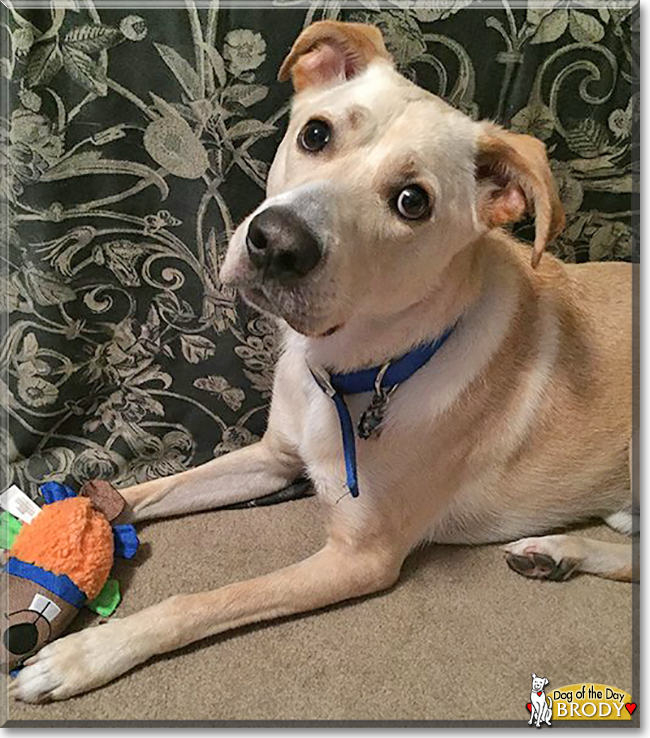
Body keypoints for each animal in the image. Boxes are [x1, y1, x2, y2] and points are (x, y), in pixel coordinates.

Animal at [8, 20, 632, 700]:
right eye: (316, 134)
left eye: (413, 201)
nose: (275, 244)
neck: (350, 368)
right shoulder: (272, 458)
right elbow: (142, 491)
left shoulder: (361, 558)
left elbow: (204, 601)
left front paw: (87, 652)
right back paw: (558, 553)